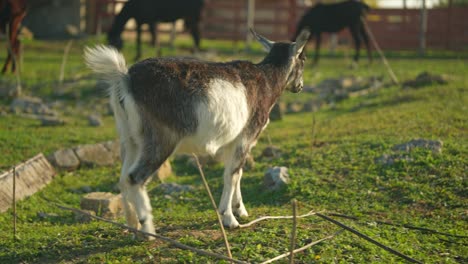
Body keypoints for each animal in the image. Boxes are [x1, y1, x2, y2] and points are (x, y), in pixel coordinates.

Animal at [84, 28, 310, 237]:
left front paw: (239, 210)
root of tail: (126, 79)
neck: (267, 81)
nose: (300, 86)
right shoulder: (246, 136)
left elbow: (236, 173)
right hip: (161, 138)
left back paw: (132, 225)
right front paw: (229, 219)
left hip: (129, 137)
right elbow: (231, 174)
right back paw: (148, 230)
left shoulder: (234, 141)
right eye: (303, 59)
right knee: (135, 178)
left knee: (123, 178)